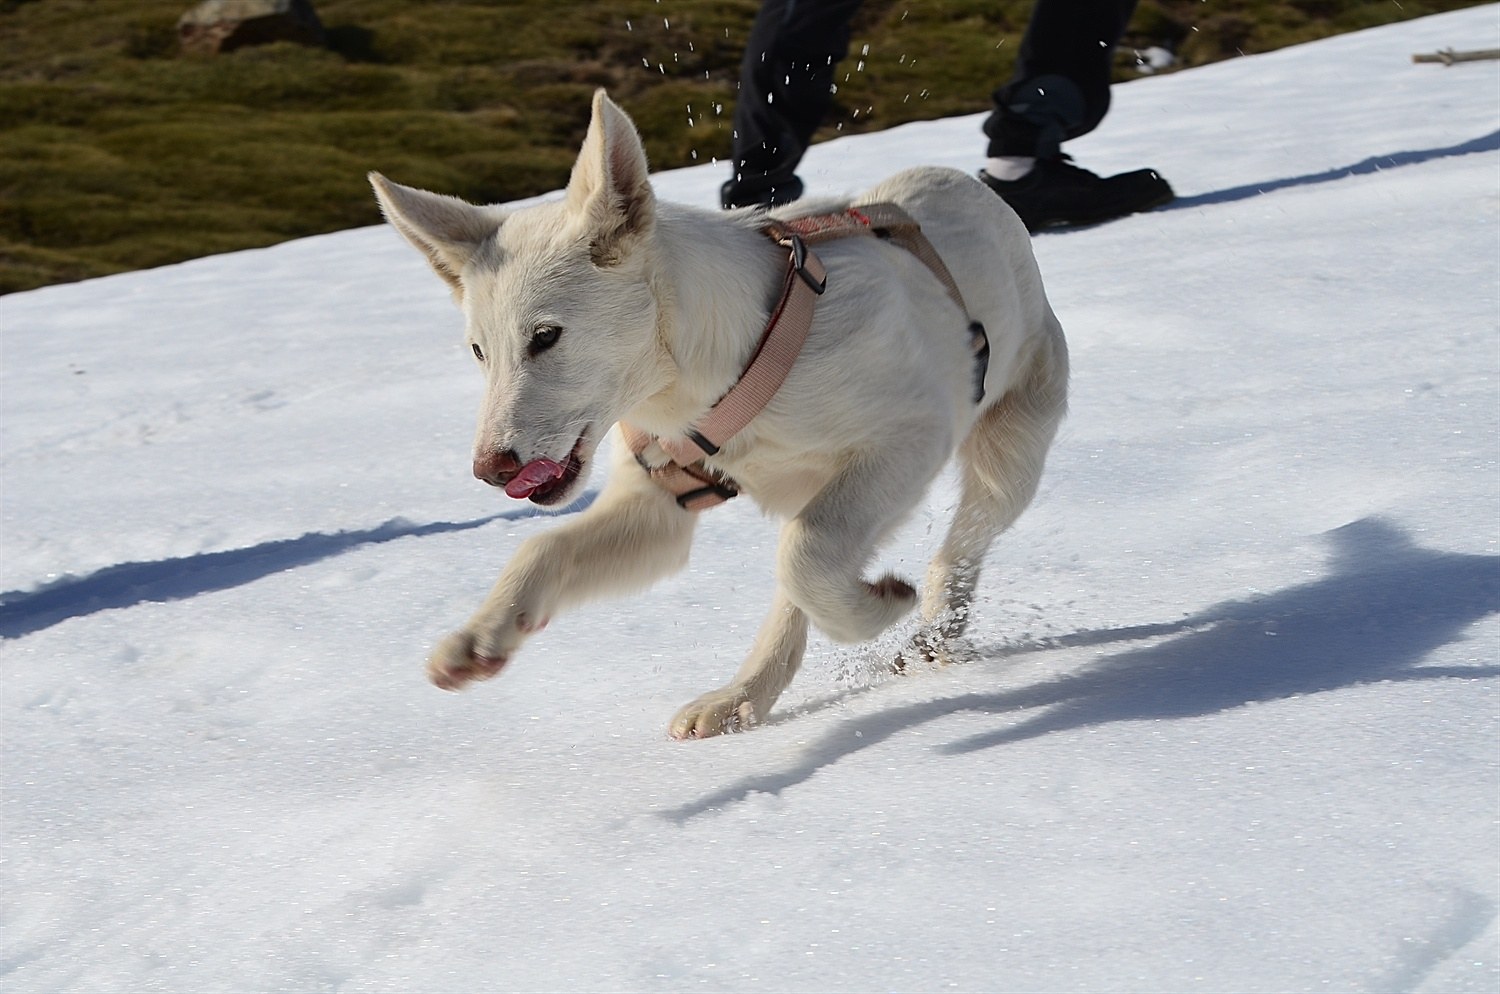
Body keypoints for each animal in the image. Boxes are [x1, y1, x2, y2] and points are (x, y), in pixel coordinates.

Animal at [367, 89, 1062, 737]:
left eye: (545, 336)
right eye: (479, 351)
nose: (492, 469)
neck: (702, 380)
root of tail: (966, 186)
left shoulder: (908, 439)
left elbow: (803, 555)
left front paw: (881, 607)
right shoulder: (660, 504)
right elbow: (542, 549)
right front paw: (480, 638)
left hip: (1009, 452)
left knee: (948, 545)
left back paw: (933, 627)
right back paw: (741, 697)